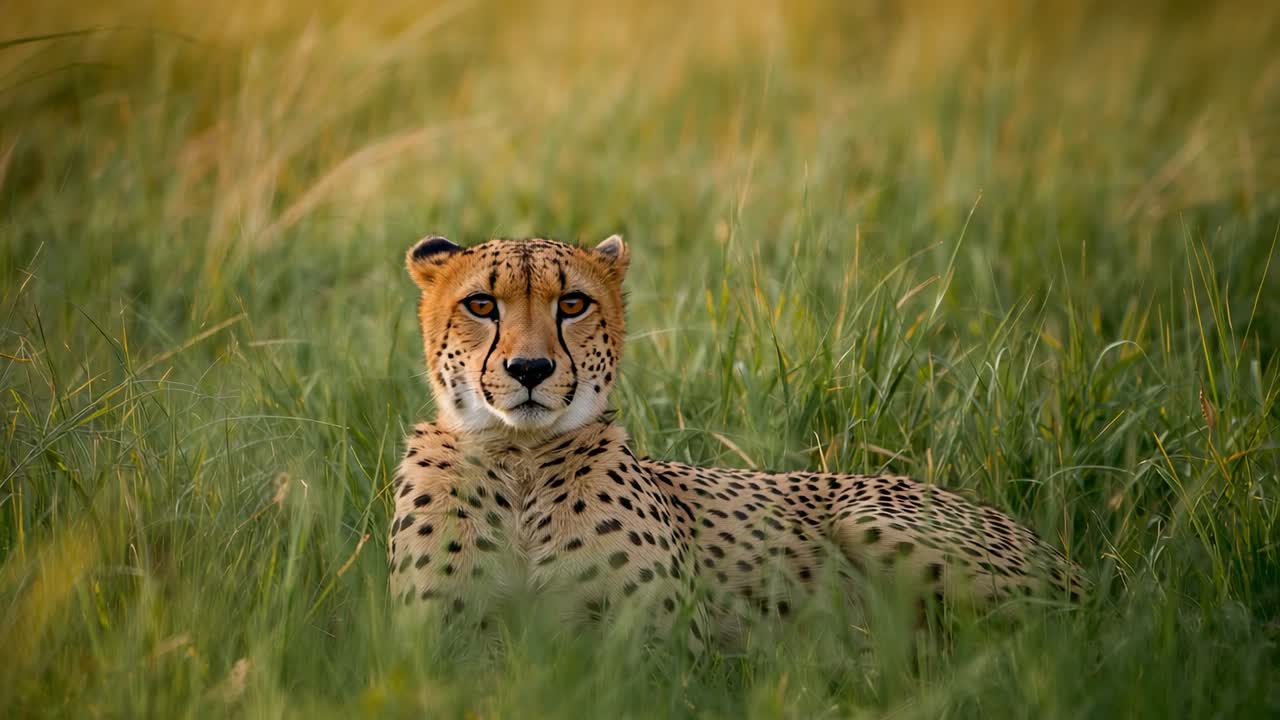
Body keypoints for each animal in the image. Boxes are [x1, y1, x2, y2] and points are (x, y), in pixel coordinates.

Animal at [388, 233, 1088, 645]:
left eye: (573, 304)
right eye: (482, 305)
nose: (530, 369)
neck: (522, 459)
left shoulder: (669, 653)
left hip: (875, 520)